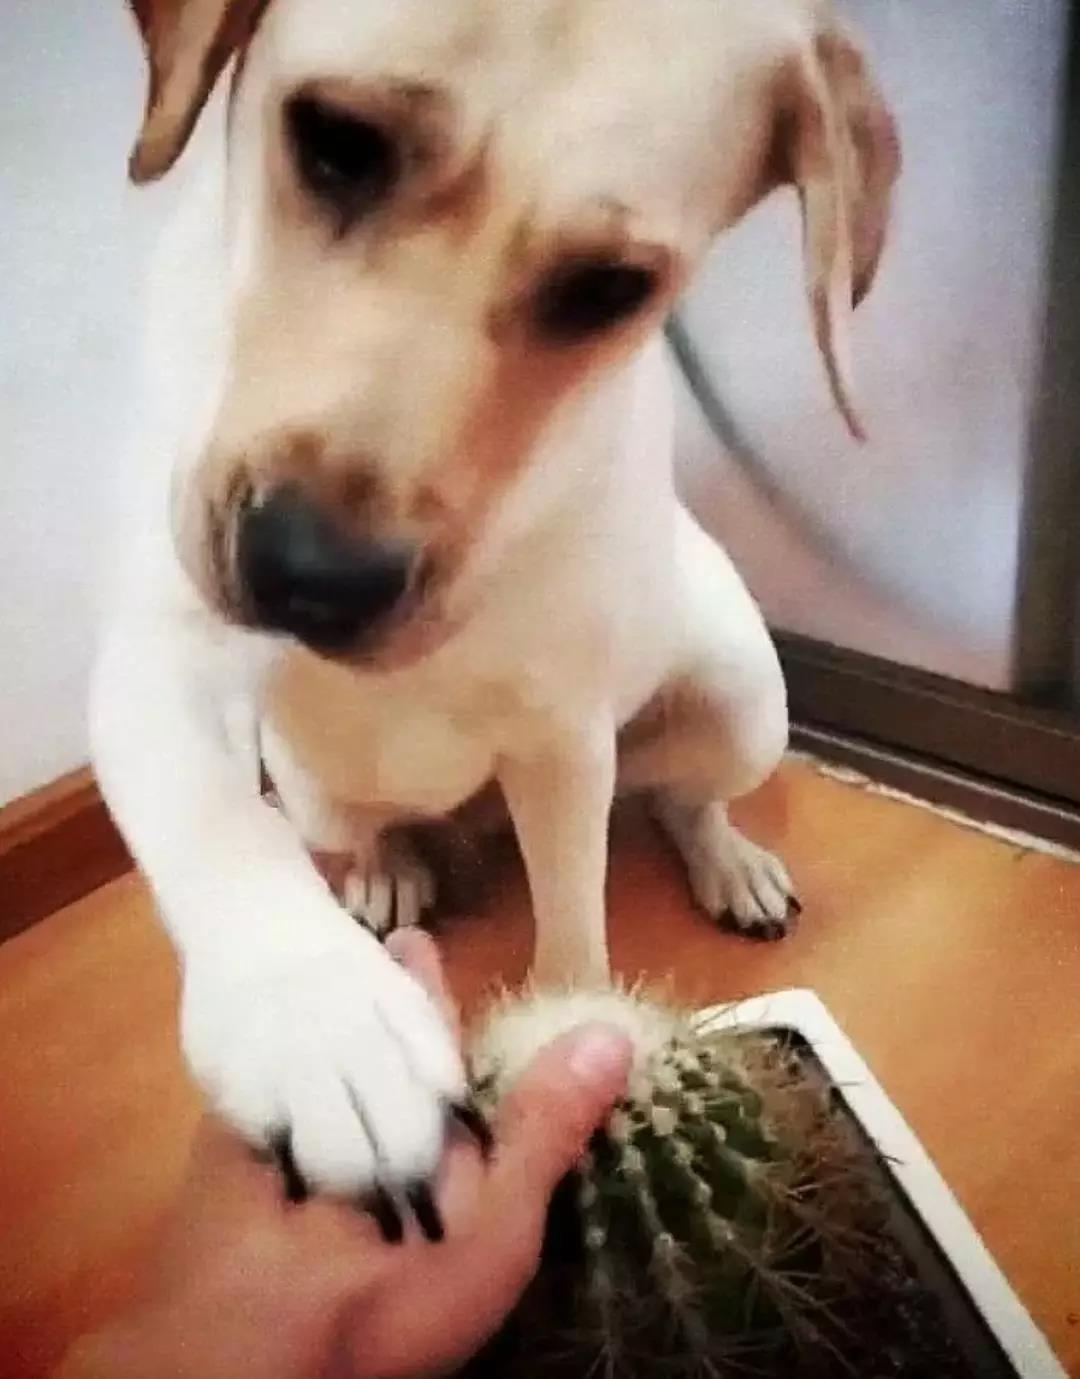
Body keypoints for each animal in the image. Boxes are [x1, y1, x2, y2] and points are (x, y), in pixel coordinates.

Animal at [91, 0, 898, 1209]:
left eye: (608, 289)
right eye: (335, 143)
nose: (311, 575)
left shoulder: (561, 737)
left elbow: (572, 919)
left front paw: (577, 1037)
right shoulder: (164, 649)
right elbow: (218, 823)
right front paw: (318, 1016)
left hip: (744, 697)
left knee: (679, 795)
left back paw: (727, 859)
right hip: (319, 790)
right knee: (377, 826)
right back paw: (391, 869)